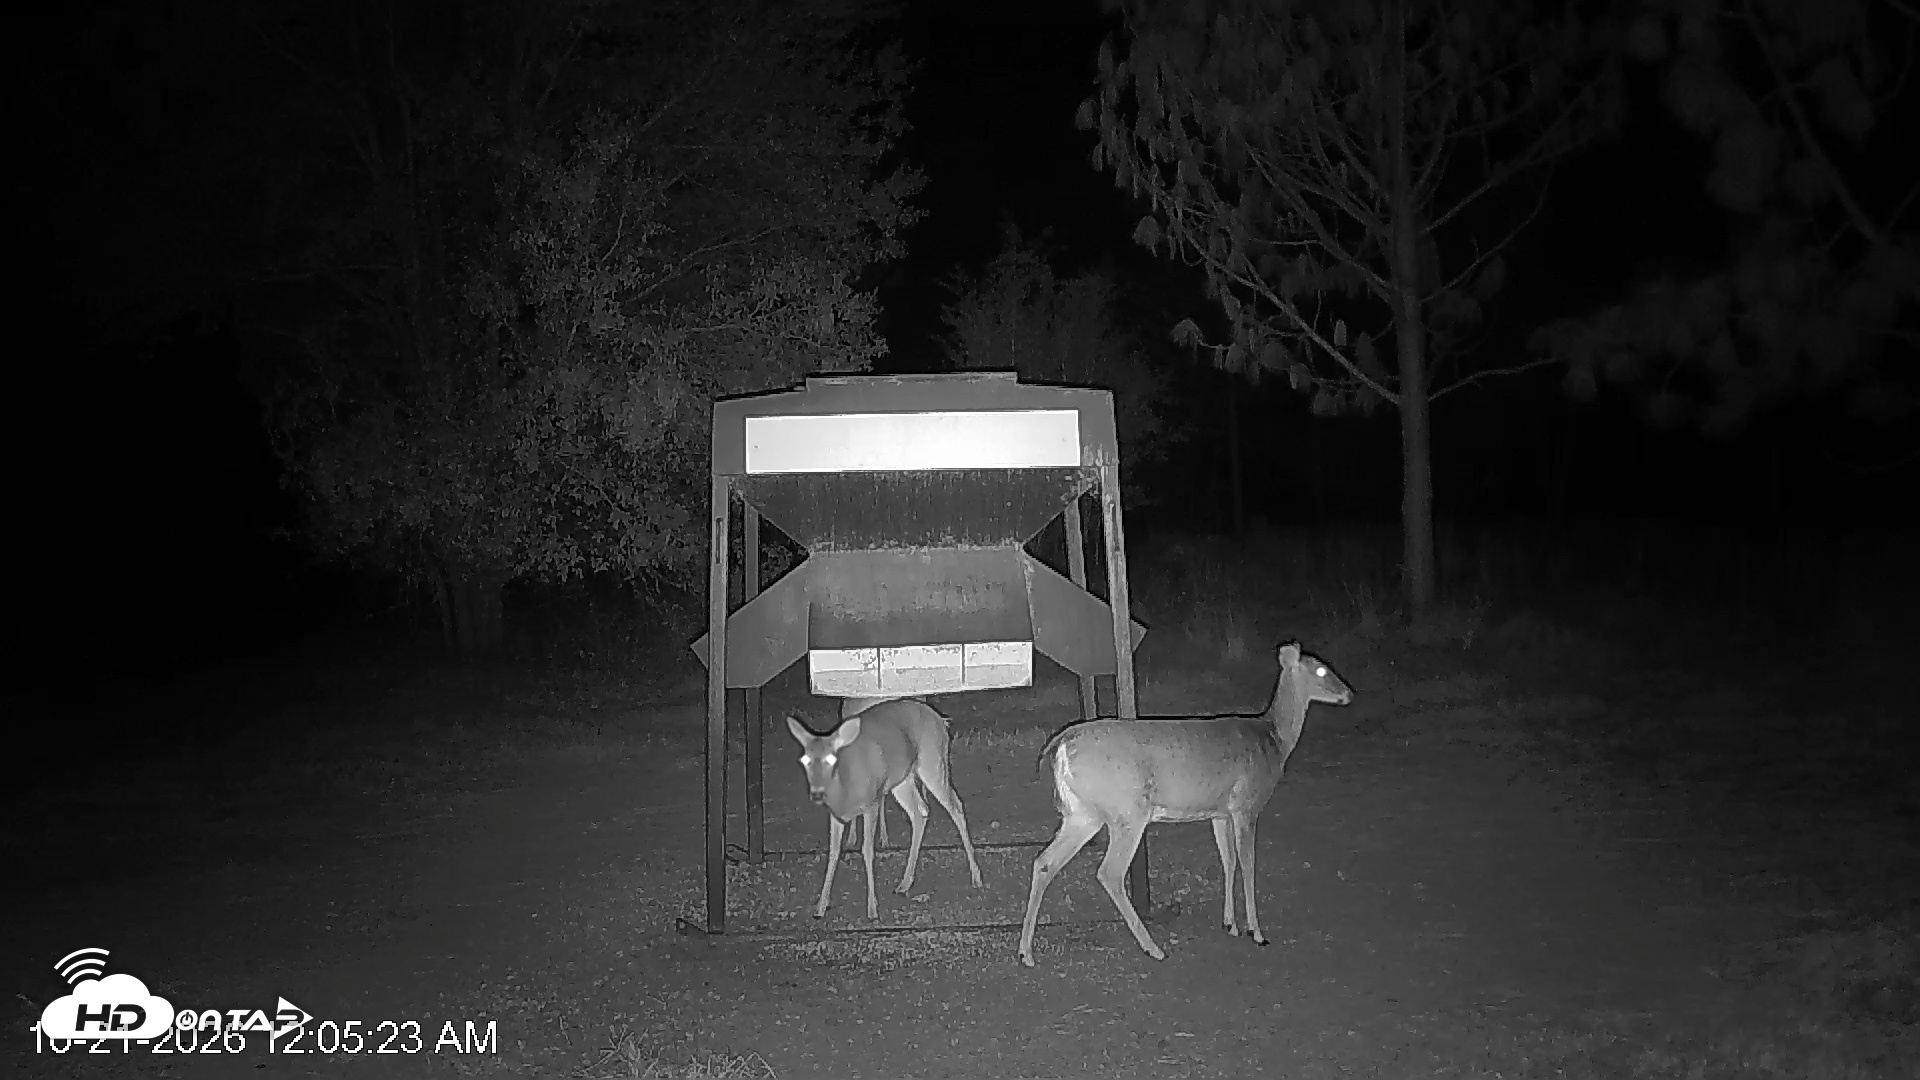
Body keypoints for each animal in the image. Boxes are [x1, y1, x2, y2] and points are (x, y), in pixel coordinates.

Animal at [786, 698, 985, 920]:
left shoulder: (872, 803)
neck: (845, 786)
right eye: (804, 760)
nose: (817, 794)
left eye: (831, 759)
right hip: (902, 779)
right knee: (920, 811)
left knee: (956, 806)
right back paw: (904, 883)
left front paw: (872, 909)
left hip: (933, 762)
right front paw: (820, 907)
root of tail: (940, 719)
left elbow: (867, 850)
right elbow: (834, 852)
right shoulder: (835, 815)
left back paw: (976, 878)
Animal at [1016, 642, 1353, 967]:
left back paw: (1026, 953)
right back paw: (1153, 948)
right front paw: (1256, 932)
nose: (1349, 693)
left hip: (1083, 814)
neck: (1273, 740)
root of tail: (1061, 744)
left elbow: (1228, 860)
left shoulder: (1220, 812)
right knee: (1109, 872)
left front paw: (1230, 924)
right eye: (1321, 669)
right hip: (1127, 811)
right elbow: (1248, 863)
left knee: (1044, 862)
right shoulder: (1247, 805)